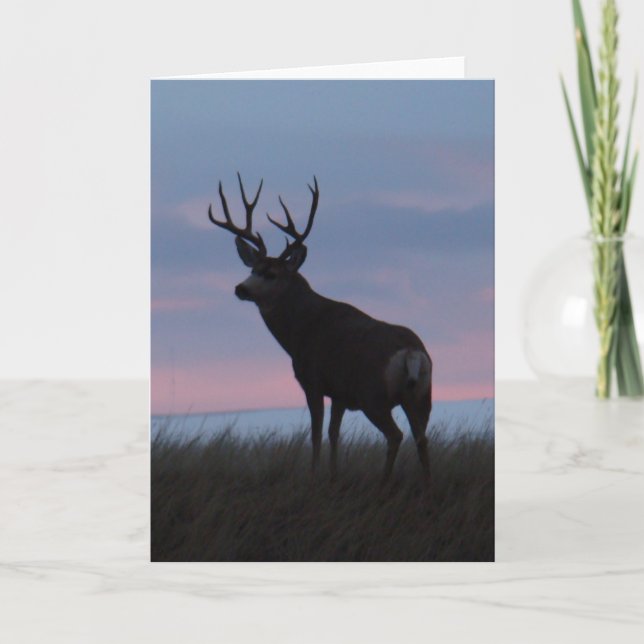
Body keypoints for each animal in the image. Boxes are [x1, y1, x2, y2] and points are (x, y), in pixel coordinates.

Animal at [208, 174, 432, 483]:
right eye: (252, 269)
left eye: (271, 273)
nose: (240, 288)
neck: (301, 330)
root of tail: (411, 352)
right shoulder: (339, 392)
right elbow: (333, 433)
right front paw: (334, 474)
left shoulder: (313, 381)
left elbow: (315, 434)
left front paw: (314, 474)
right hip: (421, 395)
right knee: (422, 438)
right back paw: (428, 481)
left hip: (373, 395)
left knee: (396, 435)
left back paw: (384, 481)